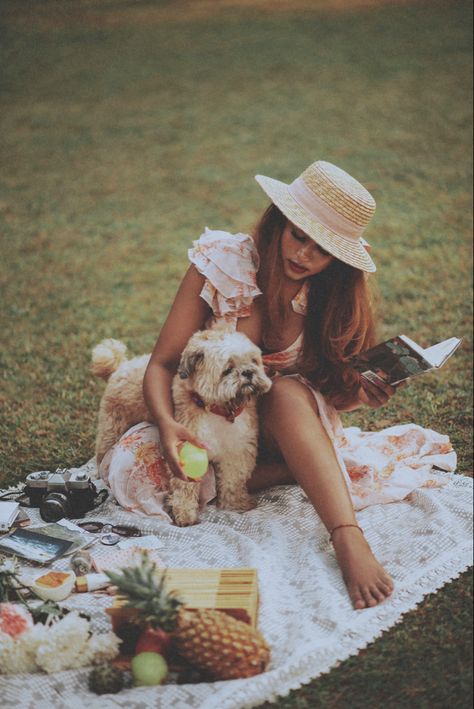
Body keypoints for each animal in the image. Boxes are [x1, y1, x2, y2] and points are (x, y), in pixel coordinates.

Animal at [91, 330, 272, 524]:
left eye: (254, 361)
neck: (217, 410)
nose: (248, 372)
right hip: (112, 429)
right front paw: (185, 513)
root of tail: (121, 367)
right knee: (101, 455)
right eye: (228, 369)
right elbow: (184, 487)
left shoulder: (236, 451)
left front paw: (235, 503)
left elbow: (233, 480)